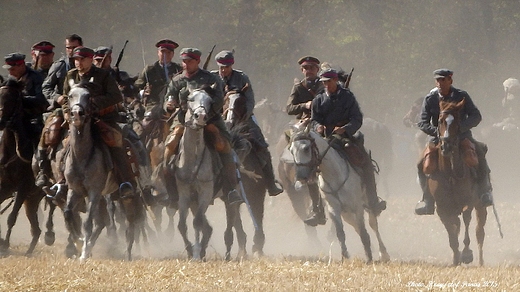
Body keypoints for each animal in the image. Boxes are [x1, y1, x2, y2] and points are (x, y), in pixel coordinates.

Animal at [0, 78, 45, 254]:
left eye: (14, 99)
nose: (1, 121)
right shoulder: (4, 188)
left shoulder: (22, 188)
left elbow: (11, 218)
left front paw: (5, 245)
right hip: (31, 200)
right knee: (36, 229)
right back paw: (28, 253)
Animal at [63, 82, 142, 260]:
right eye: (70, 95)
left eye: (88, 96)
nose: (77, 113)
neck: (82, 156)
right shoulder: (75, 190)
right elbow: (68, 214)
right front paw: (80, 243)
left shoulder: (94, 191)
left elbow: (87, 223)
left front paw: (83, 252)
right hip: (105, 197)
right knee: (102, 222)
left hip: (125, 196)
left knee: (130, 222)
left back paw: (127, 253)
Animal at [288, 121, 390, 262]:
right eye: (291, 150)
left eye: (306, 148)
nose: (301, 177)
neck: (334, 174)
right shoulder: (333, 209)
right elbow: (340, 233)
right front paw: (345, 257)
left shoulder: (357, 206)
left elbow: (364, 230)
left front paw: (369, 257)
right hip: (346, 213)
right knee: (356, 226)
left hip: (366, 204)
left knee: (373, 224)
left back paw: (383, 253)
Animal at [426, 99, 488, 266]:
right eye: (440, 121)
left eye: (457, 122)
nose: (446, 145)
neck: (450, 174)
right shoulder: (442, 208)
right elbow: (451, 230)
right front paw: (456, 257)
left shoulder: (469, 201)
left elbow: (466, 220)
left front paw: (466, 253)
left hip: (481, 205)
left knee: (479, 231)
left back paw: (480, 260)